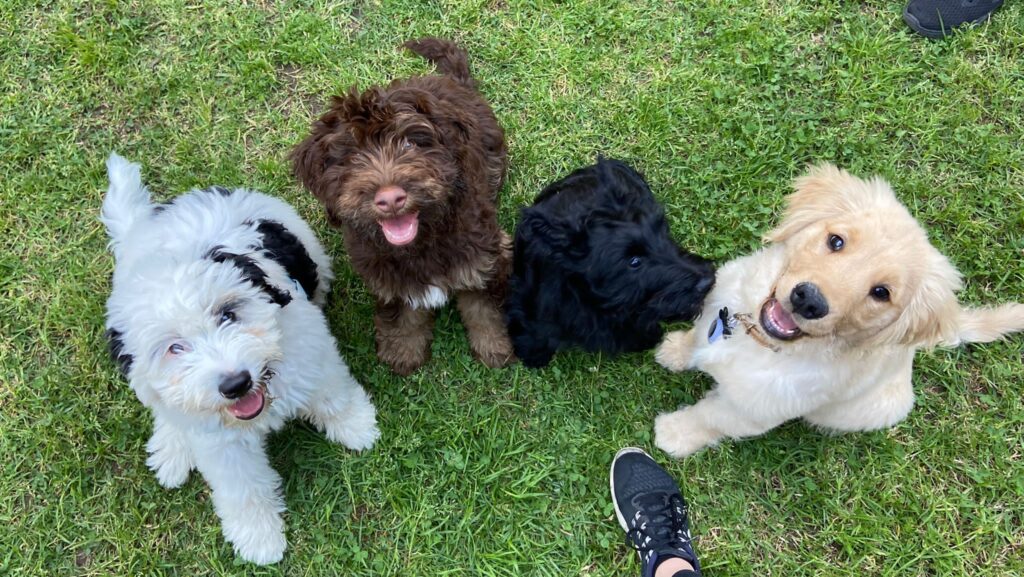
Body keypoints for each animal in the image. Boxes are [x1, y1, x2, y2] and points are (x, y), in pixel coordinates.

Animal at [100, 152, 380, 565]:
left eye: (228, 314)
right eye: (174, 348)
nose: (235, 383)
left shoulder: (312, 350)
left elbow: (332, 394)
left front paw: (356, 426)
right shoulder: (220, 443)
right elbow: (241, 486)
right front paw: (258, 536)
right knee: (165, 408)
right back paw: (171, 448)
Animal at [292, 38, 516, 377]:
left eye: (411, 143)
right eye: (351, 157)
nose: (390, 198)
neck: (422, 239)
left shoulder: (485, 255)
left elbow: (485, 305)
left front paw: (496, 346)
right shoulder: (387, 274)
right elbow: (402, 312)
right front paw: (403, 351)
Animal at [655, 165, 1024, 459]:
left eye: (881, 292)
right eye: (836, 241)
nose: (808, 301)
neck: (759, 340)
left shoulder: (749, 410)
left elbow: (709, 417)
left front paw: (674, 433)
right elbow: (696, 336)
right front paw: (674, 350)